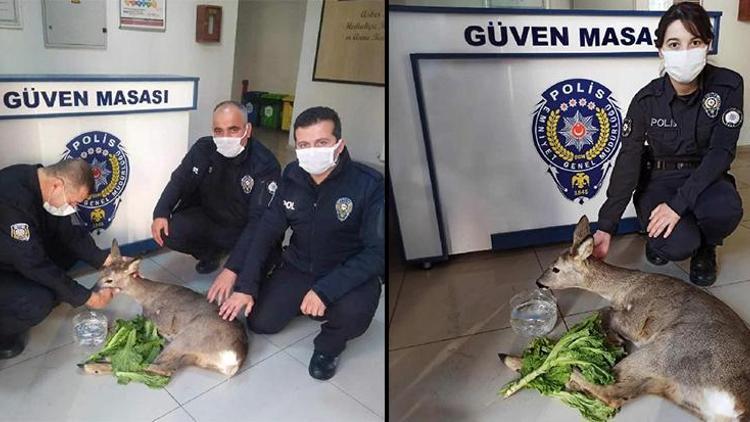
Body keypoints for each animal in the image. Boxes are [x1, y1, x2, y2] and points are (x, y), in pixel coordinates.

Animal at [500, 218, 750, 422]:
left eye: (555, 269)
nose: (539, 283)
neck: (623, 289)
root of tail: (740, 405)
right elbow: (606, 312)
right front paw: (614, 340)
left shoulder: (638, 320)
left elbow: (606, 312)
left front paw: (614, 339)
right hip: (671, 387)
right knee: (621, 391)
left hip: (670, 348)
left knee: (612, 394)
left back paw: (547, 365)